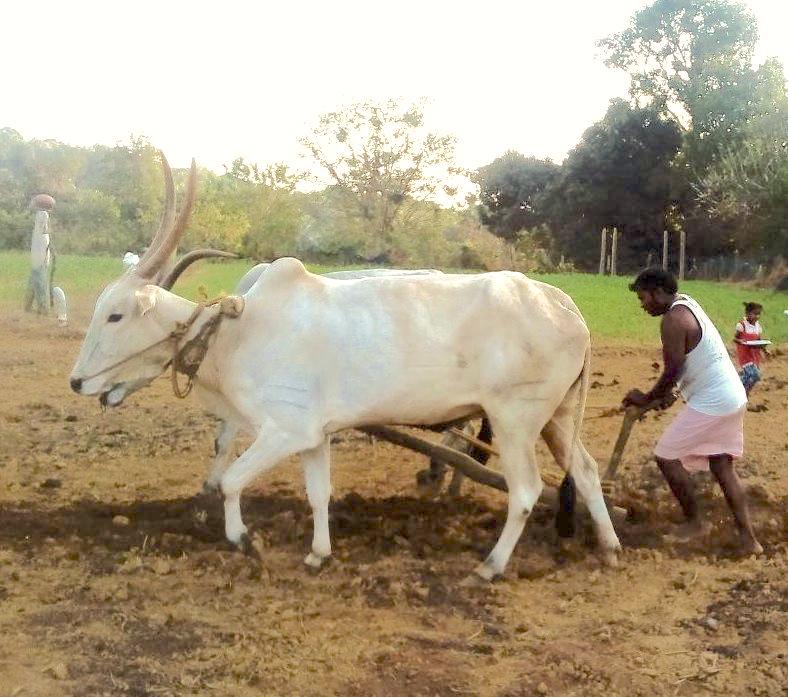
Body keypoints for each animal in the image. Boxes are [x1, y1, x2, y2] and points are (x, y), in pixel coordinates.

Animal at [69, 155, 621, 581]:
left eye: (115, 314)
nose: (77, 381)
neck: (236, 333)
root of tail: (564, 305)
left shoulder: (284, 430)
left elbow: (231, 479)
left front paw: (244, 539)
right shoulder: (315, 437)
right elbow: (319, 495)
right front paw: (318, 554)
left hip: (514, 419)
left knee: (526, 490)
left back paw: (491, 565)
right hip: (556, 418)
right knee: (586, 472)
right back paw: (610, 547)